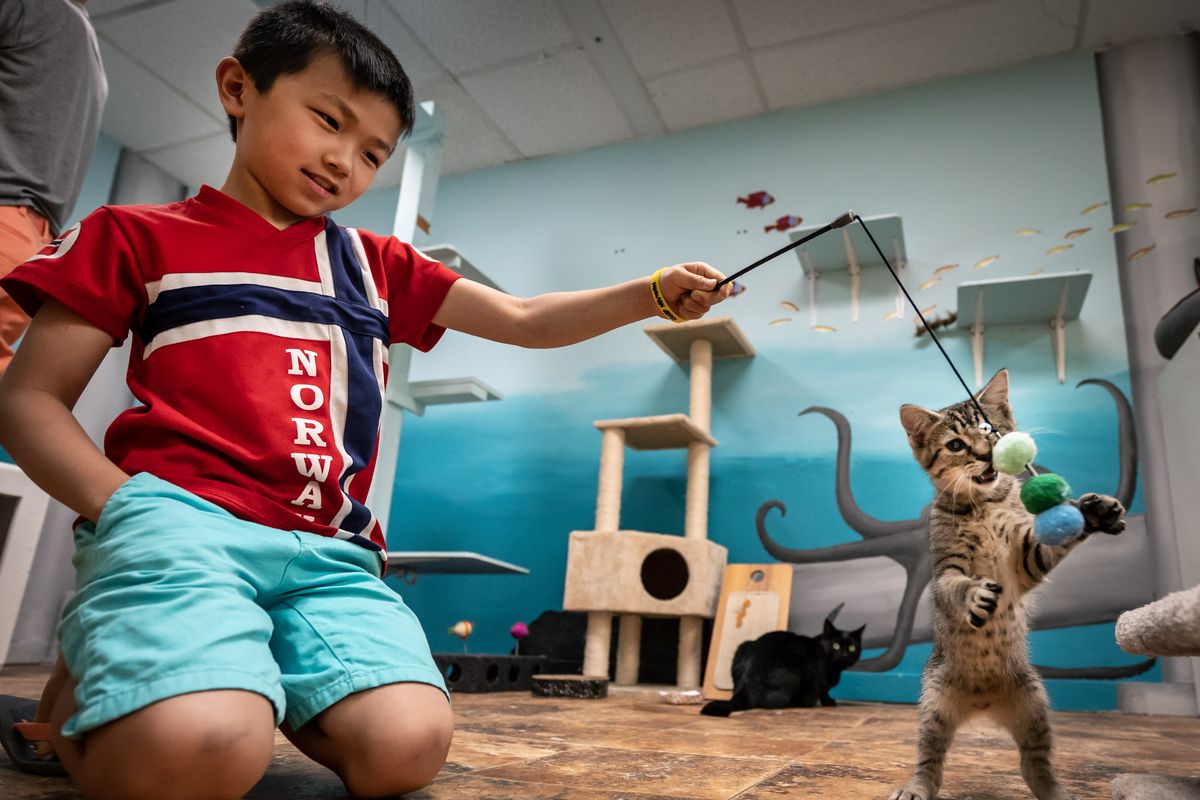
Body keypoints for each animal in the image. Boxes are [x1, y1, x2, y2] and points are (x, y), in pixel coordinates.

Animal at [700, 618, 864, 714]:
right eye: (836, 646)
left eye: (852, 648)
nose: (844, 654)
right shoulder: (820, 683)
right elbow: (824, 692)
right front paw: (829, 703)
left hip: (742, 646)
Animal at [888, 371, 1128, 800]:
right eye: (955, 445)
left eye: (993, 431)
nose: (987, 455)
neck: (984, 504)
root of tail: (983, 704)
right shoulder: (944, 570)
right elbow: (955, 587)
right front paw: (975, 594)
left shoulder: (1024, 560)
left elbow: (1050, 541)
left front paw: (1094, 512)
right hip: (933, 706)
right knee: (929, 760)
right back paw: (916, 786)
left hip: (1034, 704)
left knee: (1035, 764)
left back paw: (1056, 791)